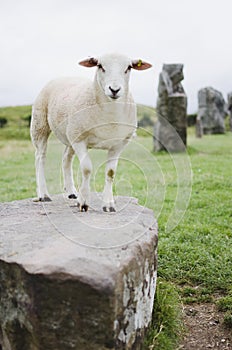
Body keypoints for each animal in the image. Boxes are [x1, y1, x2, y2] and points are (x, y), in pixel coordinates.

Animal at [30, 53, 152, 212]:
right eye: (100, 66)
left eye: (129, 67)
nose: (114, 89)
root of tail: (61, 77)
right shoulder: (79, 140)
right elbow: (87, 169)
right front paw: (83, 202)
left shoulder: (118, 144)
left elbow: (110, 172)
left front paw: (108, 204)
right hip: (40, 124)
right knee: (40, 157)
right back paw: (43, 194)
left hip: (70, 133)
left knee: (66, 158)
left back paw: (71, 192)